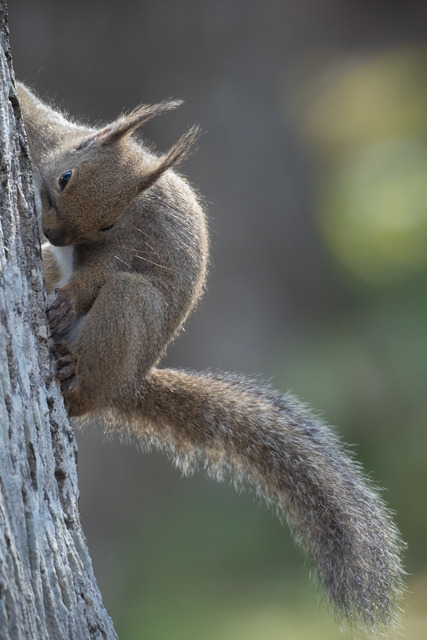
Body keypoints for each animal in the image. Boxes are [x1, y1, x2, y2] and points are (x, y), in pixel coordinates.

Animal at [16, 82, 404, 636]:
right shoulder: (54, 137)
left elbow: (99, 274)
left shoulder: (131, 246)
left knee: (92, 374)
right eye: (65, 179)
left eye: (109, 222)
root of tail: (132, 380)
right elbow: (32, 108)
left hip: (129, 312)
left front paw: (69, 299)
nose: (54, 234)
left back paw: (72, 373)